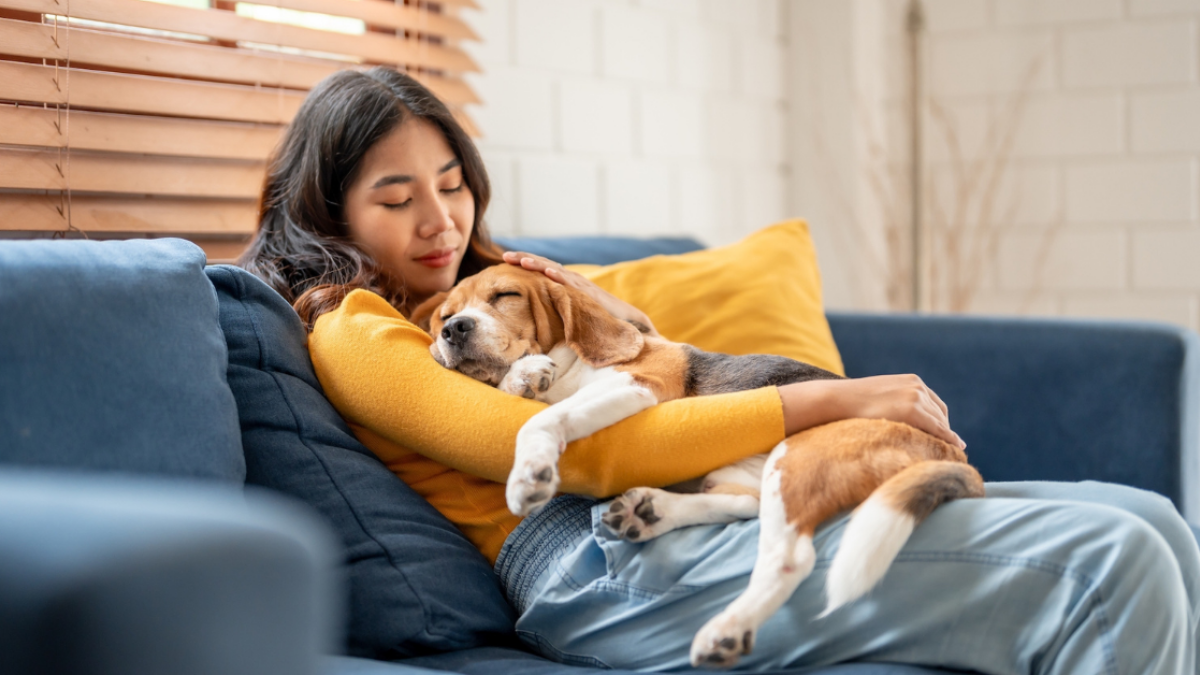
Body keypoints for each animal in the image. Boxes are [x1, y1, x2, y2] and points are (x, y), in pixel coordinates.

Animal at [415, 264, 984, 667]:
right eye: (444, 315)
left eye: (505, 296)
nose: (454, 331)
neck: (572, 363)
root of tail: (954, 453)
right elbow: (531, 396)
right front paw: (523, 377)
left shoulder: (638, 386)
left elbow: (541, 420)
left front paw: (529, 471)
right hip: (749, 470)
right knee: (743, 506)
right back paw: (651, 512)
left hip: (799, 456)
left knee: (790, 555)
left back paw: (726, 628)